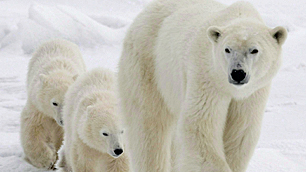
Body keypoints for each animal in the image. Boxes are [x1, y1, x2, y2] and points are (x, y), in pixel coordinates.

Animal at [20, 39, 86, 169]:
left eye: (67, 102)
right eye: (54, 103)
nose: (62, 121)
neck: (58, 71)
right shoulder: (37, 106)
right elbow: (32, 128)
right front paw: (47, 160)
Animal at [117, 0, 286, 172]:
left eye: (254, 50)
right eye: (227, 49)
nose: (238, 73)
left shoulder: (252, 93)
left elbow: (241, 133)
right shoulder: (206, 76)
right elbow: (199, 127)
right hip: (149, 65)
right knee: (149, 125)